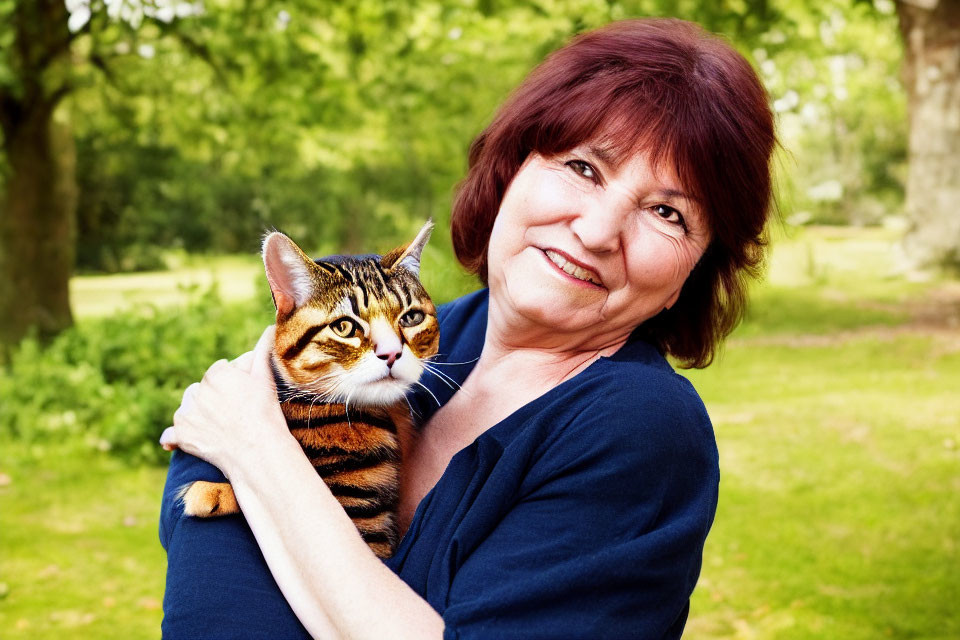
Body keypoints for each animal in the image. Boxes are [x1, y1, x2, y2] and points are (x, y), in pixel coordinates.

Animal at [176, 222, 438, 556]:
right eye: (344, 327)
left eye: (411, 318)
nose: (392, 353)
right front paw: (216, 492)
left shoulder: (363, 519)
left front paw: (214, 492)